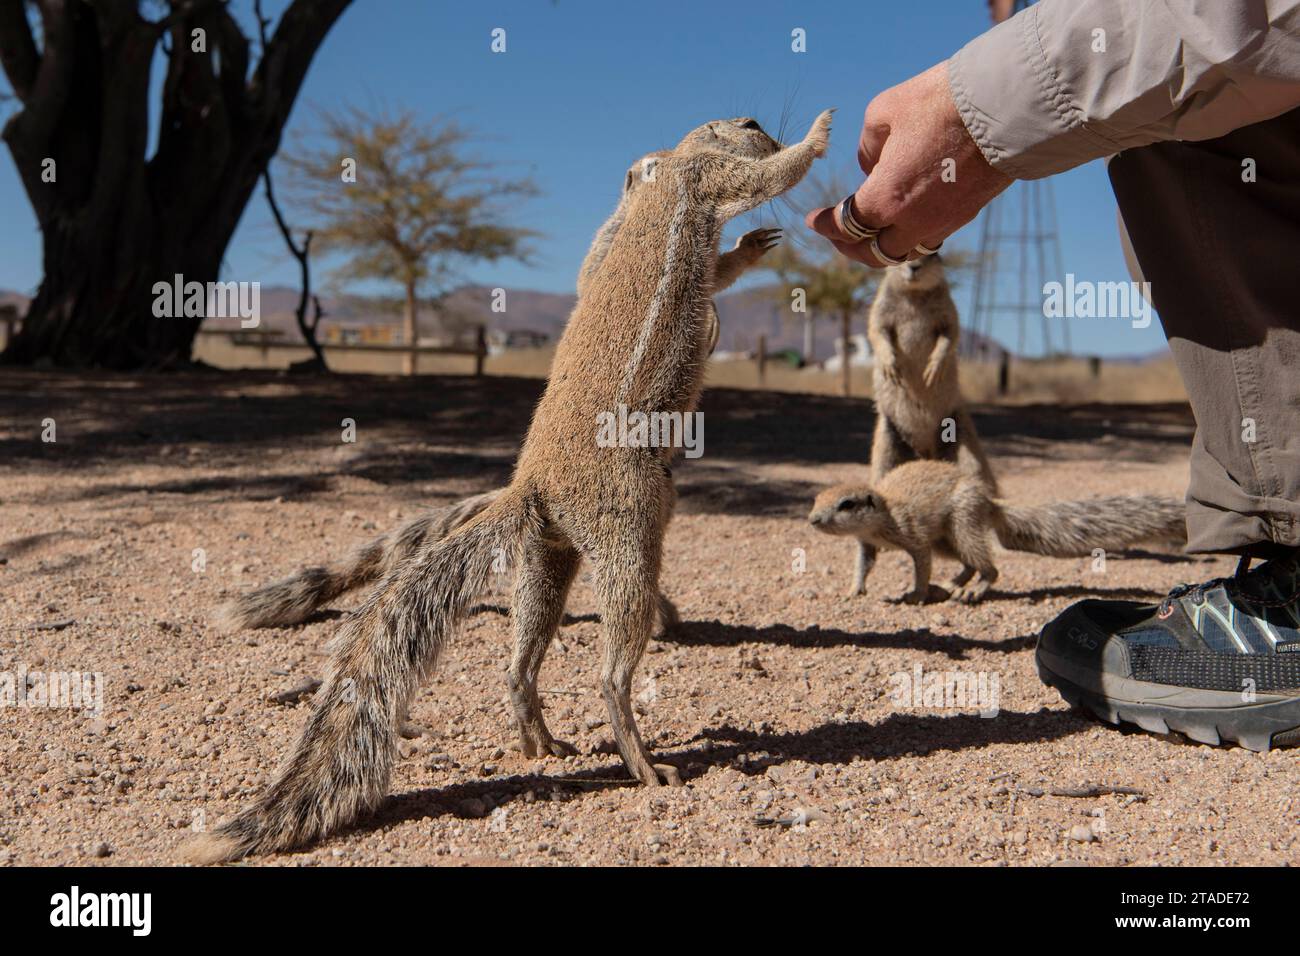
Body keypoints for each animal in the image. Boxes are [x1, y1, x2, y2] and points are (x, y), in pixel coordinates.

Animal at [188, 110, 837, 858]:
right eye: (750, 123)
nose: (766, 128)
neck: (668, 169)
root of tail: (533, 487)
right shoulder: (709, 182)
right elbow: (769, 180)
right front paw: (815, 137)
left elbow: (722, 265)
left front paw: (753, 243)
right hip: (630, 531)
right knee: (613, 671)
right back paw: (642, 760)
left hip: (547, 554)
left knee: (523, 654)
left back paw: (539, 737)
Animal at [811, 460, 1190, 600]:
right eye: (815, 499)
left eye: (846, 504)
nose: (814, 520)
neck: (884, 512)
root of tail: (989, 501)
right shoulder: (865, 542)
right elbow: (864, 564)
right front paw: (853, 589)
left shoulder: (912, 533)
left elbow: (920, 562)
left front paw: (914, 594)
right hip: (947, 538)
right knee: (966, 561)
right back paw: (955, 583)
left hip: (961, 523)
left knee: (987, 564)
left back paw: (972, 591)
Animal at [873, 254, 993, 489]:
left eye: (934, 253)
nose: (914, 267)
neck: (915, 294)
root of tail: (926, 452)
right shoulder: (881, 306)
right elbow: (877, 330)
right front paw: (891, 366)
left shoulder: (947, 309)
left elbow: (951, 332)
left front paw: (933, 370)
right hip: (886, 443)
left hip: (964, 439)